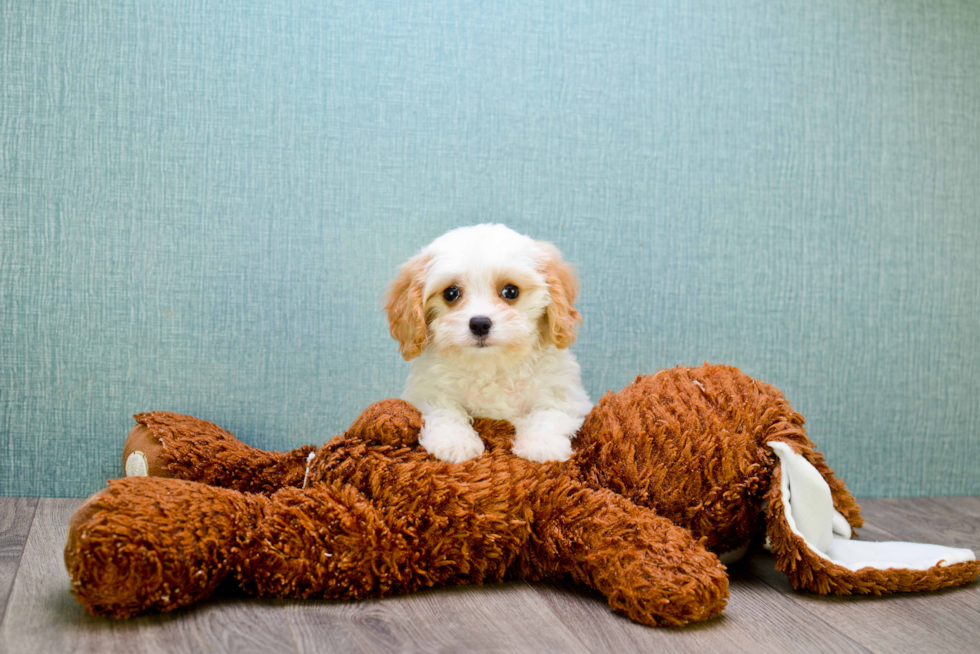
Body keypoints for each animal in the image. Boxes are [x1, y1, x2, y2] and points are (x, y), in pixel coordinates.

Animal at [386, 226, 592, 466]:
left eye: (511, 291)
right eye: (451, 293)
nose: (479, 323)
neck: (490, 364)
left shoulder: (567, 393)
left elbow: (550, 411)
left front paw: (541, 446)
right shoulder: (424, 391)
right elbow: (443, 409)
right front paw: (455, 443)